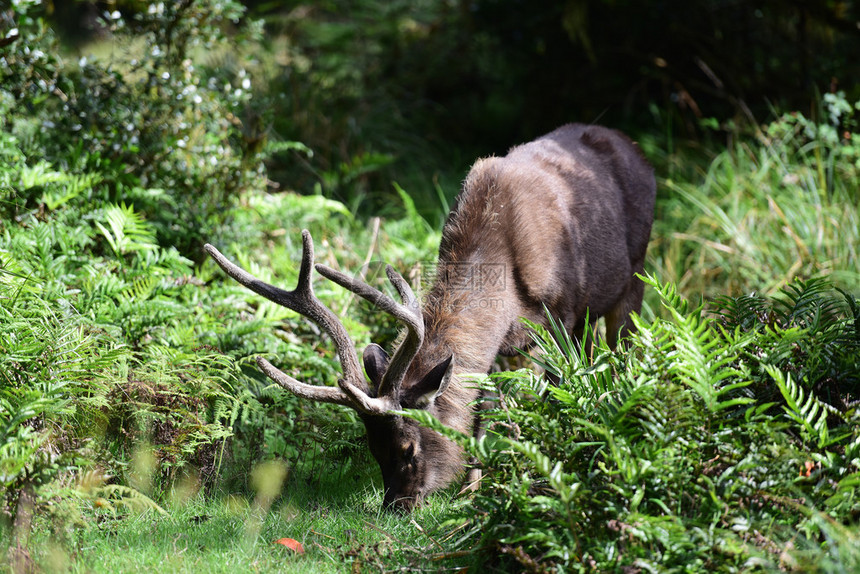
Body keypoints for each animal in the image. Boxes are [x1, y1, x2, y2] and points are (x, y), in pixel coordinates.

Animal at [205, 121, 656, 512]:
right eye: (373, 449)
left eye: (408, 448)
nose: (396, 506)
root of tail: (634, 147)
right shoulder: (497, 346)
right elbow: (481, 408)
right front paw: (472, 490)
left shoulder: (560, 313)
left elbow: (552, 393)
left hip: (633, 277)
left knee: (621, 350)